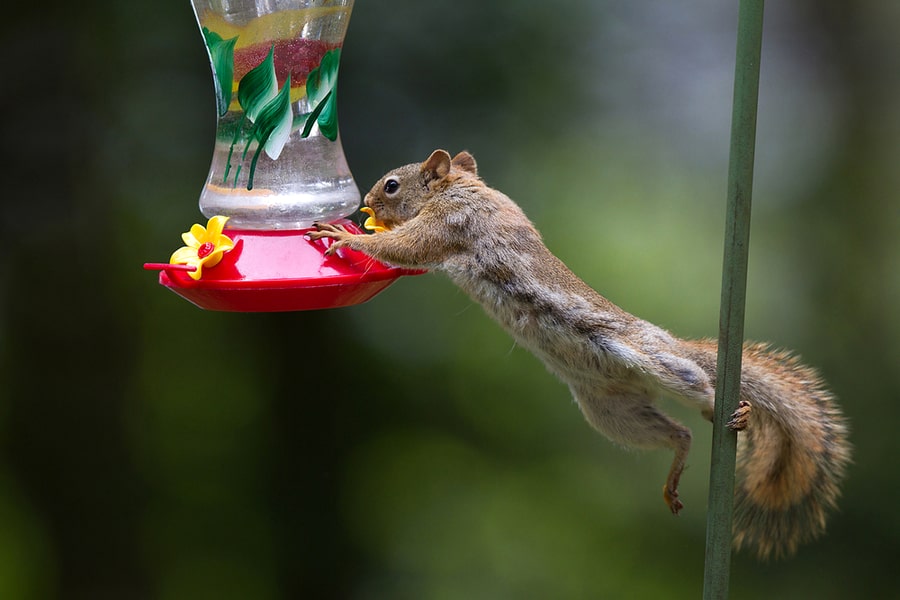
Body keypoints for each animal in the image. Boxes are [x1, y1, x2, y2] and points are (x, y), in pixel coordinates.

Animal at [310, 149, 852, 556]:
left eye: (392, 185)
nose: (365, 202)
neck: (463, 188)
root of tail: (669, 344)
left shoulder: (451, 223)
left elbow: (407, 249)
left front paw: (336, 235)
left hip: (656, 363)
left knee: (700, 390)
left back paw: (733, 409)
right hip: (611, 412)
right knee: (677, 433)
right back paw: (676, 469)